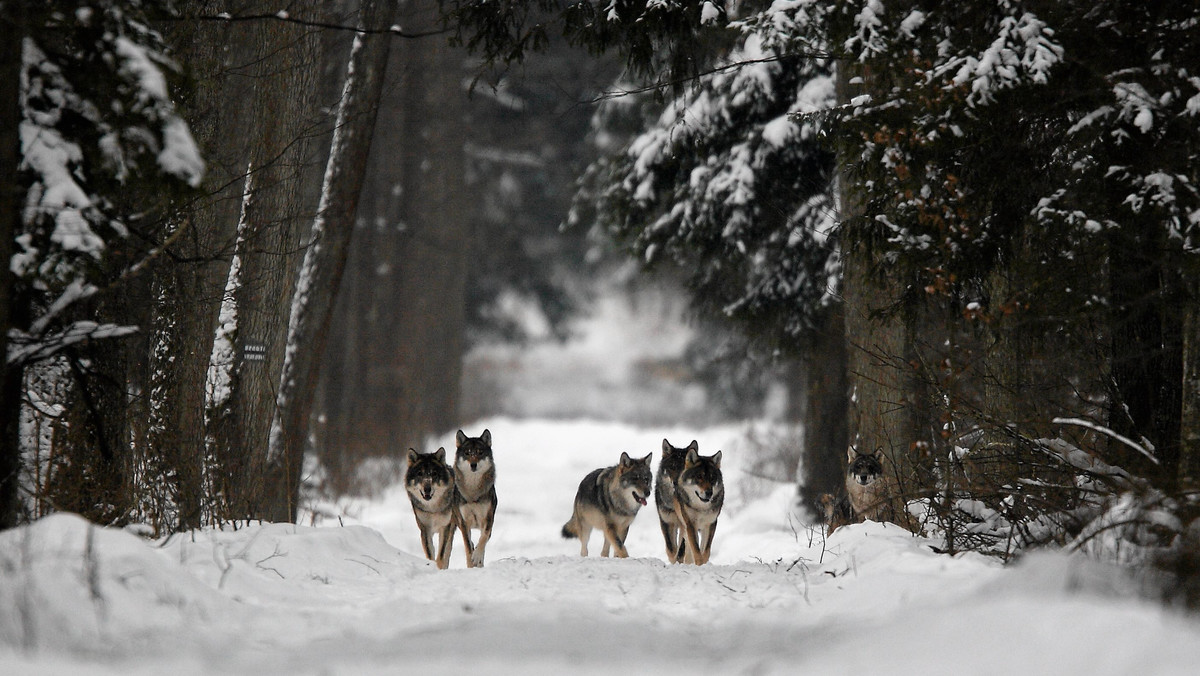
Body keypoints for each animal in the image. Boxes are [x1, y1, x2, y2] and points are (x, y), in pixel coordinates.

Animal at [456, 427, 499, 571]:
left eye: (480, 452)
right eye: (467, 453)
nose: (473, 465)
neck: (473, 492)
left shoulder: (487, 520)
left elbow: (483, 540)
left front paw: (477, 558)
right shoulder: (464, 523)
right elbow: (468, 547)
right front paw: (471, 564)